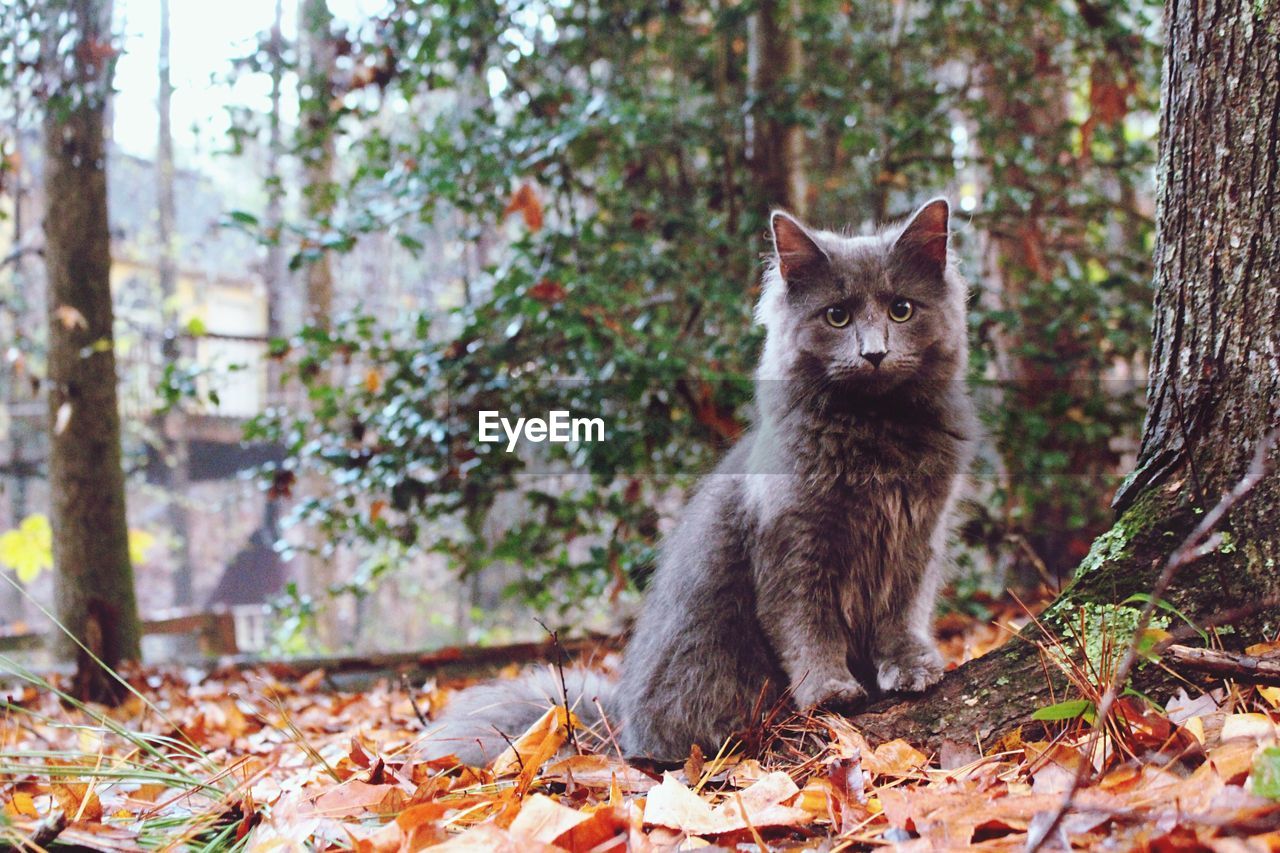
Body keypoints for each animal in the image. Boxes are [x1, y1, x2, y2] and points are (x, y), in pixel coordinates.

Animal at [419, 199, 967, 763]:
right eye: (837, 316)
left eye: (901, 310)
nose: (874, 353)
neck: (874, 435)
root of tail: (620, 730)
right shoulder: (794, 547)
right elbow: (808, 629)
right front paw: (830, 690)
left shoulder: (916, 538)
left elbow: (901, 614)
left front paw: (912, 667)